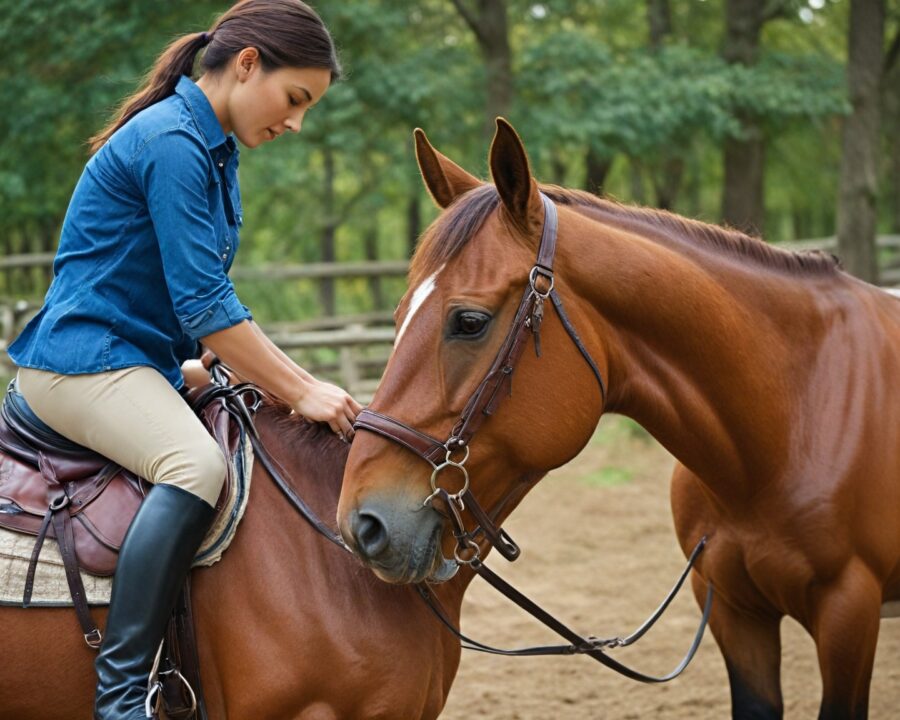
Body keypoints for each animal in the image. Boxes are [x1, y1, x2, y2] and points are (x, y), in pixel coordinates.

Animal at [336, 118, 900, 720]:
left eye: (469, 321)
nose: (361, 523)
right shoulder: (734, 610)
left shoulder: (848, 614)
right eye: (399, 316)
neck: (791, 420)